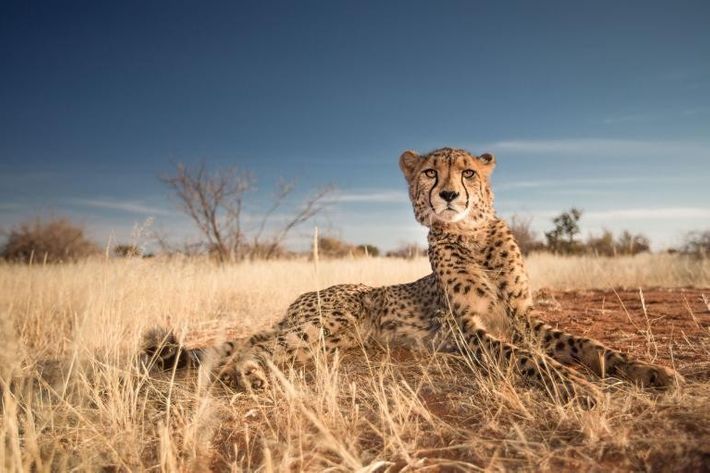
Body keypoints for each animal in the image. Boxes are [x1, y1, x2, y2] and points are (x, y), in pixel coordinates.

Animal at [142, 147, 682, 403]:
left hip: (331, 339)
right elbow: (528, 358)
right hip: (323, 325)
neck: (471, 235)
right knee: (250, 350)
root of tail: (307, 295)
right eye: (429, 173)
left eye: (468, 172)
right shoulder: (469, 332)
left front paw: (648, 371)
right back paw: (248, 374)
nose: (448, 195)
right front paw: (576, 386)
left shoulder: (522, 317)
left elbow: (588, 345)